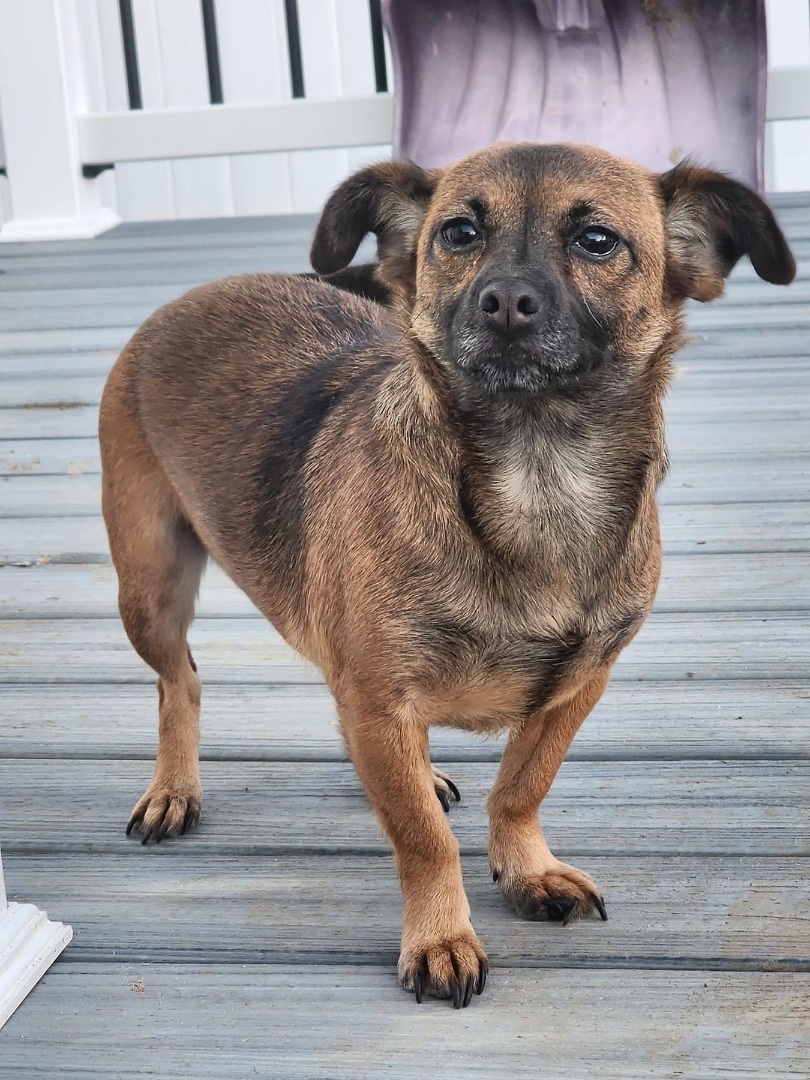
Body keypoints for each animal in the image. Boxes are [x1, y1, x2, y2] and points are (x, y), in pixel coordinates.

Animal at [98, 141, 794, 1002]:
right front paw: (440, 936)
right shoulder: (378, 696)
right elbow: (423, 840)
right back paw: (174, 787)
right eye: (458, 233)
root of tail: (191, 297)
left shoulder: (577, 685)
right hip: (150, 588)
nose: (505, 301)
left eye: (598, 241)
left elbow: (522, 785)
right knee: (179, 683)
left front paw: (526, 868)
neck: (539, 475)